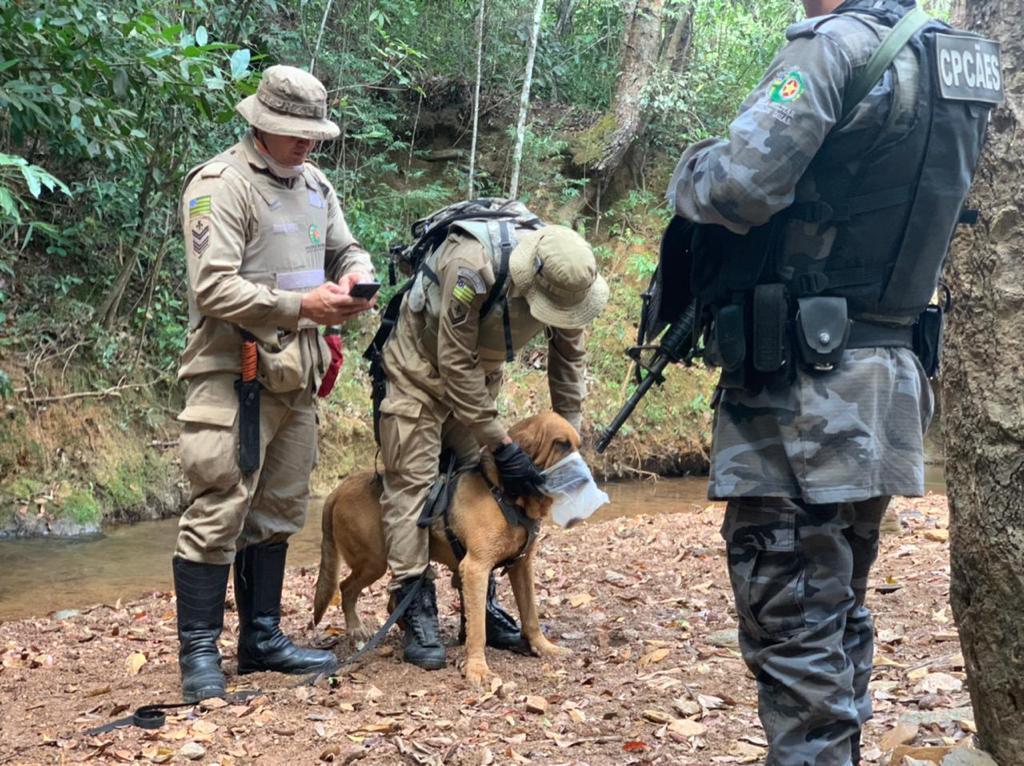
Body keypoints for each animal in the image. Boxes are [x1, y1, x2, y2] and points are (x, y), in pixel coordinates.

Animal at [311, 415, 581, 684]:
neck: (503, 492)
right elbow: (477, 629)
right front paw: (477, 668)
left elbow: (530, 615)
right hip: (372, 562)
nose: (581, 478)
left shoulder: (522, 566)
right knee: (346, 588)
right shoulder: (476, 568)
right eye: (561, 444)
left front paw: (544, 647)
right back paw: (357, 630)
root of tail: (338, 489)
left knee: (392, 599)